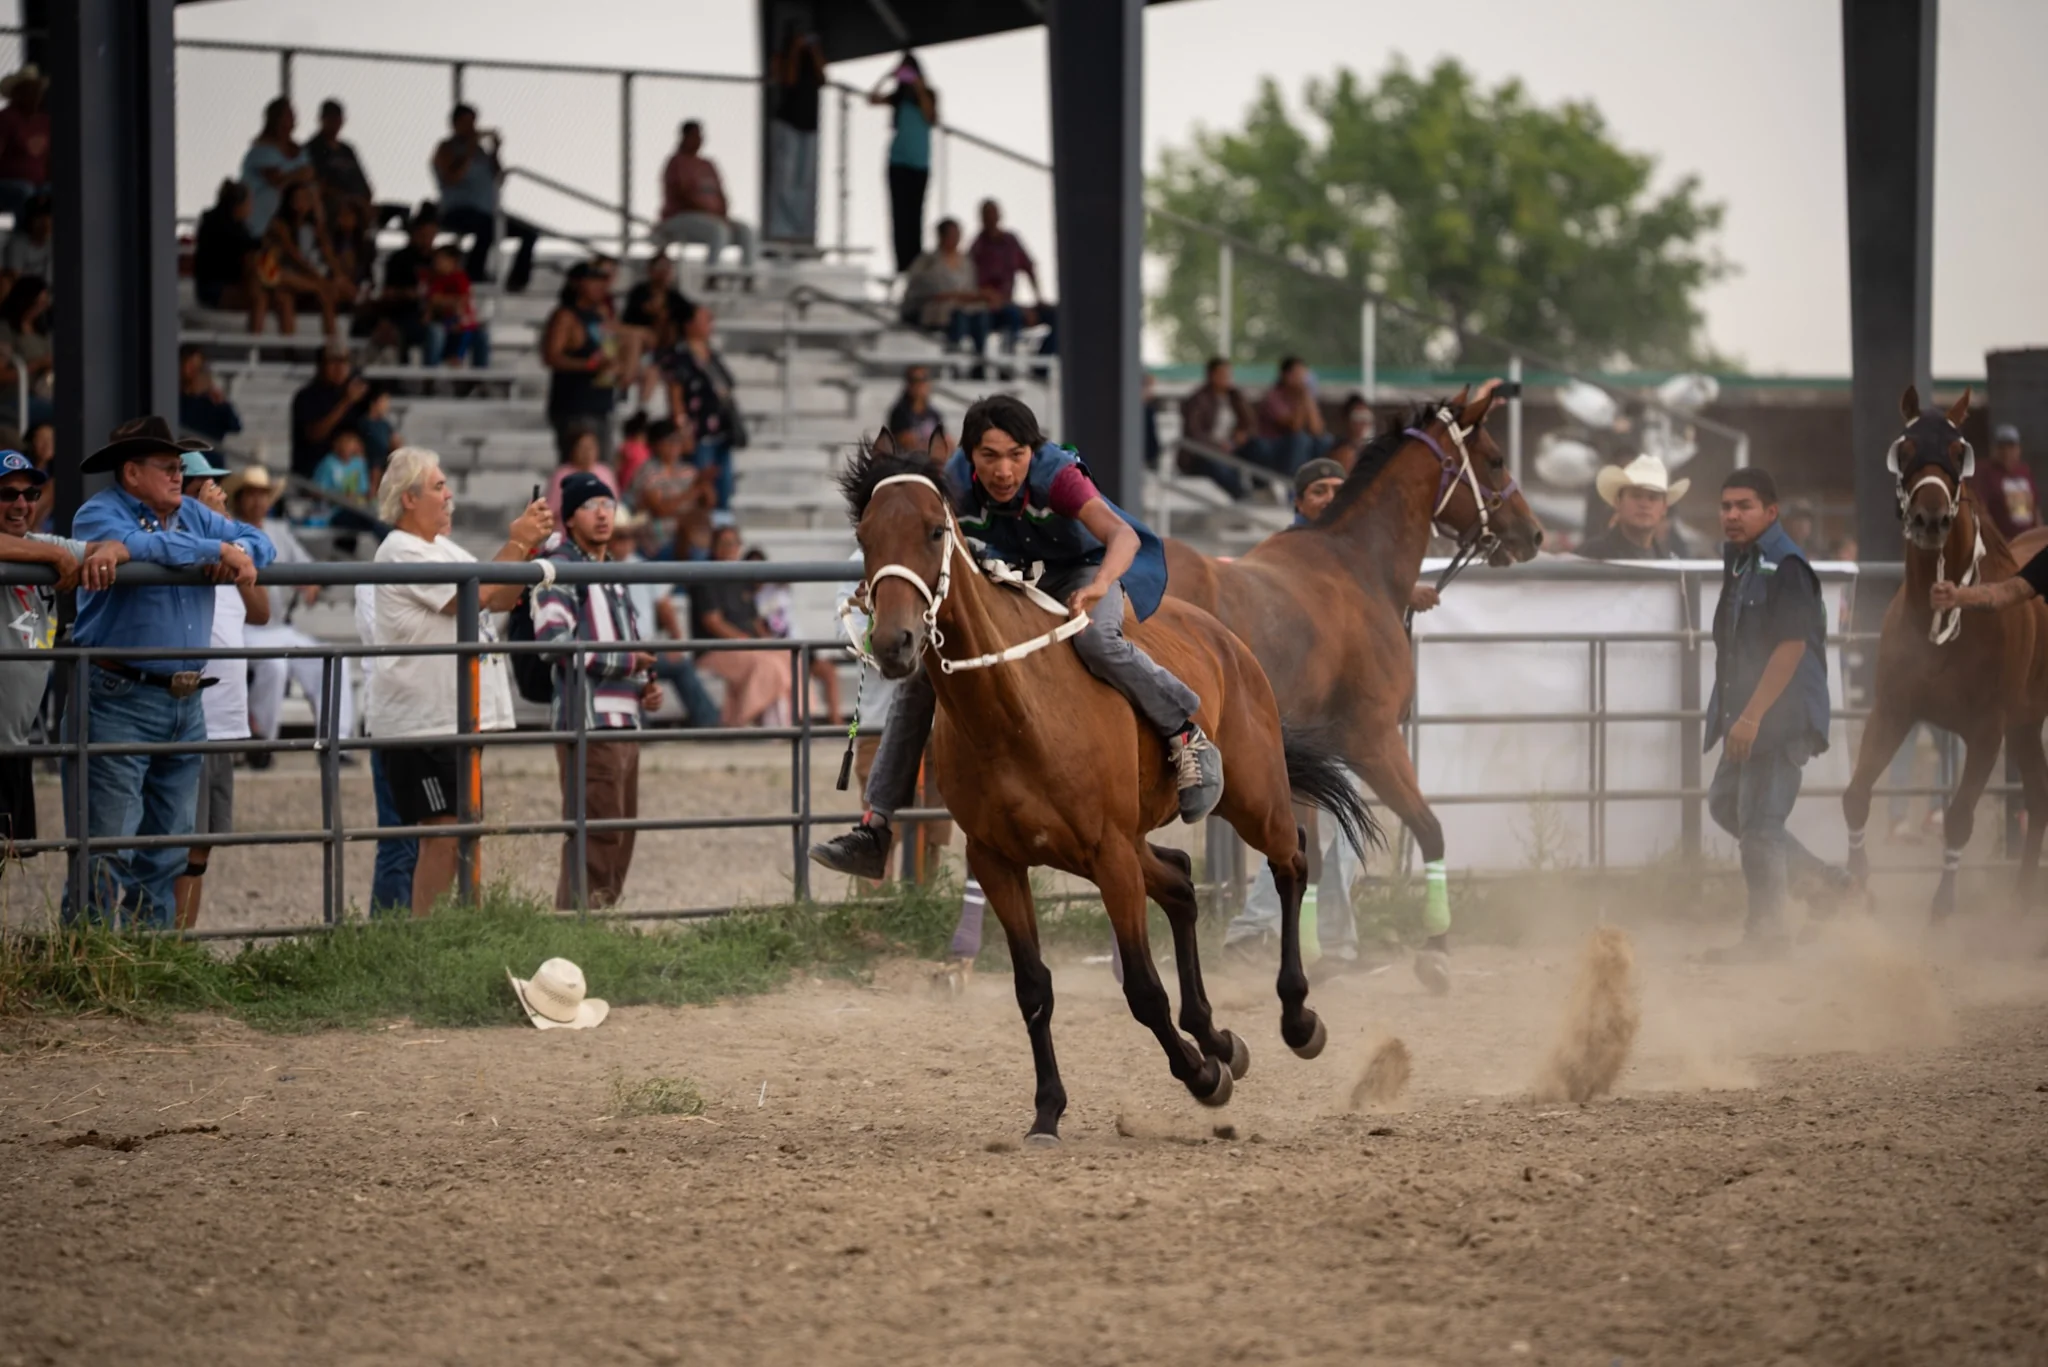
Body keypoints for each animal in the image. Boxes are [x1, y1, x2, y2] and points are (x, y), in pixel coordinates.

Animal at [844, 435, 1383, 1143]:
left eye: (936, 530)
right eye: (865, 535)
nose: (894, 642)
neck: (1016, 711)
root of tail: (1226, 639)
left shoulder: (1109, 855)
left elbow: (1143, 990)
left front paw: (1202, 1078)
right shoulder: (998, 861)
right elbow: (1033, 989)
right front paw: (1048, 1110)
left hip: (1248, 797)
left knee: (1291, 859)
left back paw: (1296, 1021)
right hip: (1121, 844)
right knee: (1181, 880)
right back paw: (1219, 1037)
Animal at [1163, 385, 1544, 990]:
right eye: (1495, 459)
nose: (1533, 534)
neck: (1357, 566)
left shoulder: (1300, 760)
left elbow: (1308, 860)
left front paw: (1311, 958)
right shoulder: (1372, 742)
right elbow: (1430, 829)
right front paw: (1436, 948)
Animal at [1842, 385, 2048, 919]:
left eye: (1959, 451)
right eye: (1905, 449)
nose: (1930, 519)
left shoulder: (1987, 731)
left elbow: (1958, 818)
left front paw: (1943, 908)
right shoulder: (1893, 711)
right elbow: (1856, 795)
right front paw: (1859, 886)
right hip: (2026, 725)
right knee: (2038, 798)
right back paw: (2021, 900)